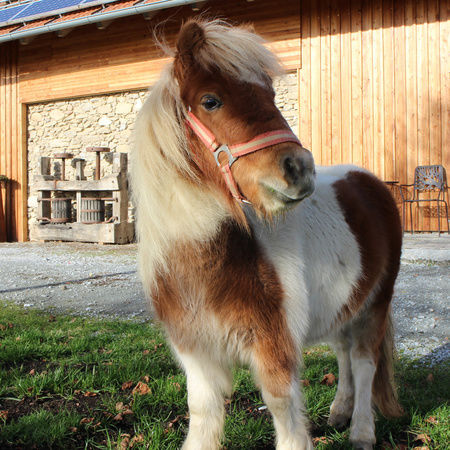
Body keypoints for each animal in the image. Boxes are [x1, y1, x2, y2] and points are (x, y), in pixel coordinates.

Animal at [131, 18, 404, 450]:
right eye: (211, 101)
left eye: (271, 95)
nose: (299, 167)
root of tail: (369, 181)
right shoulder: (196, 354)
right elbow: (202, 412)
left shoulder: (274, 348)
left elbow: (283, 410)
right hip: (345, 303)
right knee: (343, 352)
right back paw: (339, 413)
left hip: (375, 303)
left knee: (364, 361)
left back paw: (361, 431)